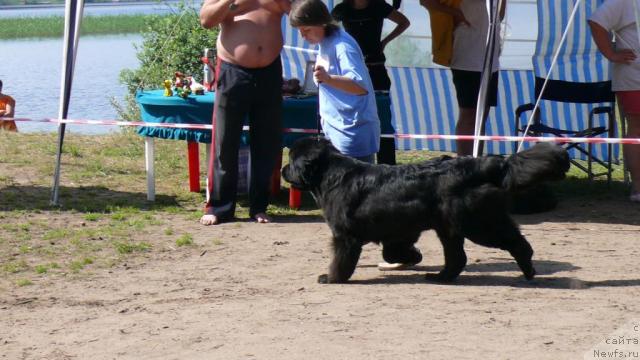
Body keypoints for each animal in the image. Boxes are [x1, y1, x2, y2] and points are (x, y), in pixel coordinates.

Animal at [282, 138, 568, 284]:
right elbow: (395, 249)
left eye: (292, 161)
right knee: (457, 258)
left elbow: (341, 261)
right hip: (450, 227)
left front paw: (331, 278)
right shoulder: (398, 230)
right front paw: (411, 257)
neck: (331, 176)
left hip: (477, 223)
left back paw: (528, 270)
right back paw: (440, 276)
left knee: (515, 242)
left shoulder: (345, 236)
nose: (284, 170)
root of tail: (489, 163)